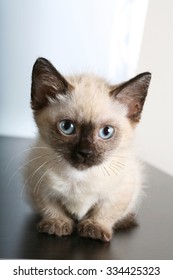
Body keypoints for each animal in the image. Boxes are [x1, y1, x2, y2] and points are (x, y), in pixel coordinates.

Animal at [24, 57, 151, 241]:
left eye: (106, 132)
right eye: (67, 127)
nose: (85, 153)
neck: (80, 177)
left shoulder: (120, 191)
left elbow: (105, 212)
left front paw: (94, 229)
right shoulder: (39, 186)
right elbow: (51, 207)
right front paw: (57, 224)